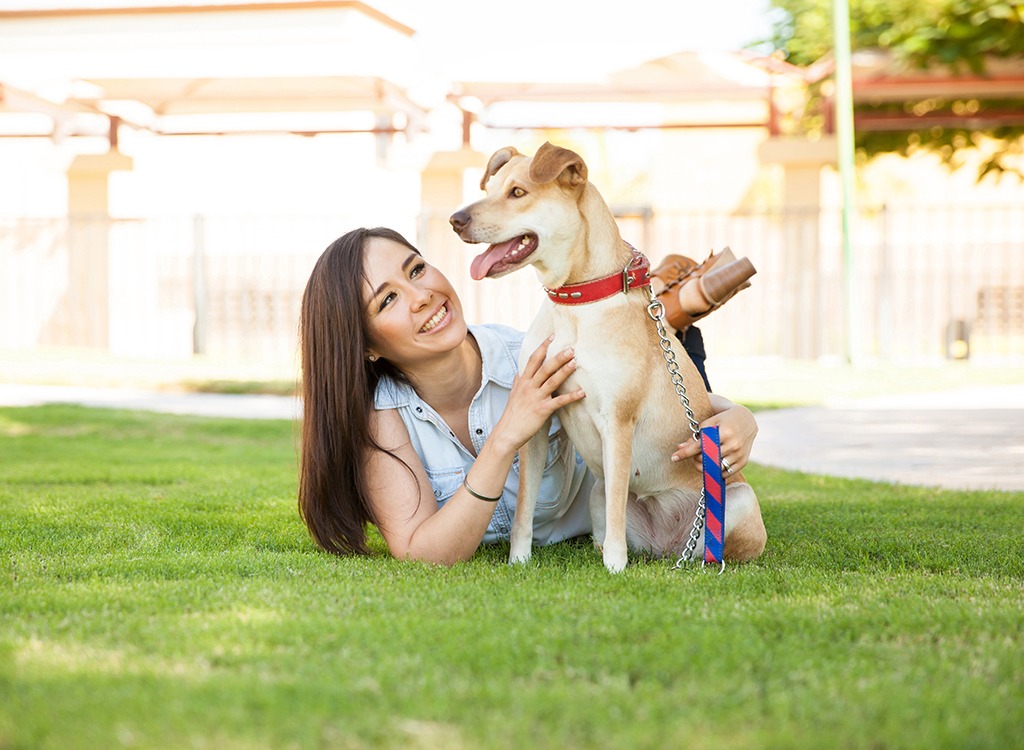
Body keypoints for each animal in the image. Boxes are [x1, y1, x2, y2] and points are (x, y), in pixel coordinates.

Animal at [452, 143, 765, 569]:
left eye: (518, 193)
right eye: (490, 188)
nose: (455, 219)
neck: (576, 303)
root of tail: (670, 545)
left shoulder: (617, 421)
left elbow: (617, 503)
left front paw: (616, 568)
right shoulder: (534, 419)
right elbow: (524, 510)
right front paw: (519, 560)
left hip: (737, 501)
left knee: (714, 549)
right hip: (596, 496)